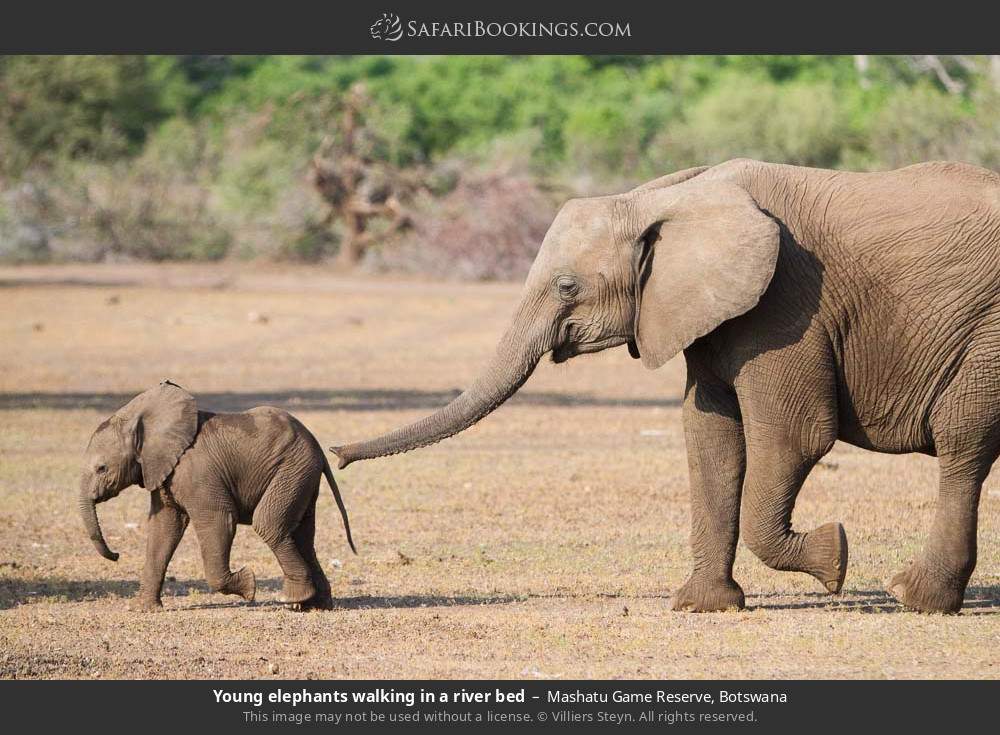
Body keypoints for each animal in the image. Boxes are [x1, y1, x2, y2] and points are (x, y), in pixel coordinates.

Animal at [80, 376, 358, 612]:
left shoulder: (197, 473)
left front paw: (249, 585)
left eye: (102, 468)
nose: (116, 555)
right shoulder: (163, 472)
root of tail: (320, 449)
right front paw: (145, 610)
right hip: (301, 476)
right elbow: (163, 528)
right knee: (302, 535)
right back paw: (315, 605)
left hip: (291, 470)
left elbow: (219, 520)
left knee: (268, 523)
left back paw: (291, 599)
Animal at [334, 160, 1000, 616]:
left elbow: (795, 437)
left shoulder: (787, 304)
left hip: (985, 335)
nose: (337, 455)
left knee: (961, 443)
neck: (656, 197)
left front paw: (833, 558)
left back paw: (912, 597)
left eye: (568, 286)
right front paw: (702, 606)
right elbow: (709, 438)